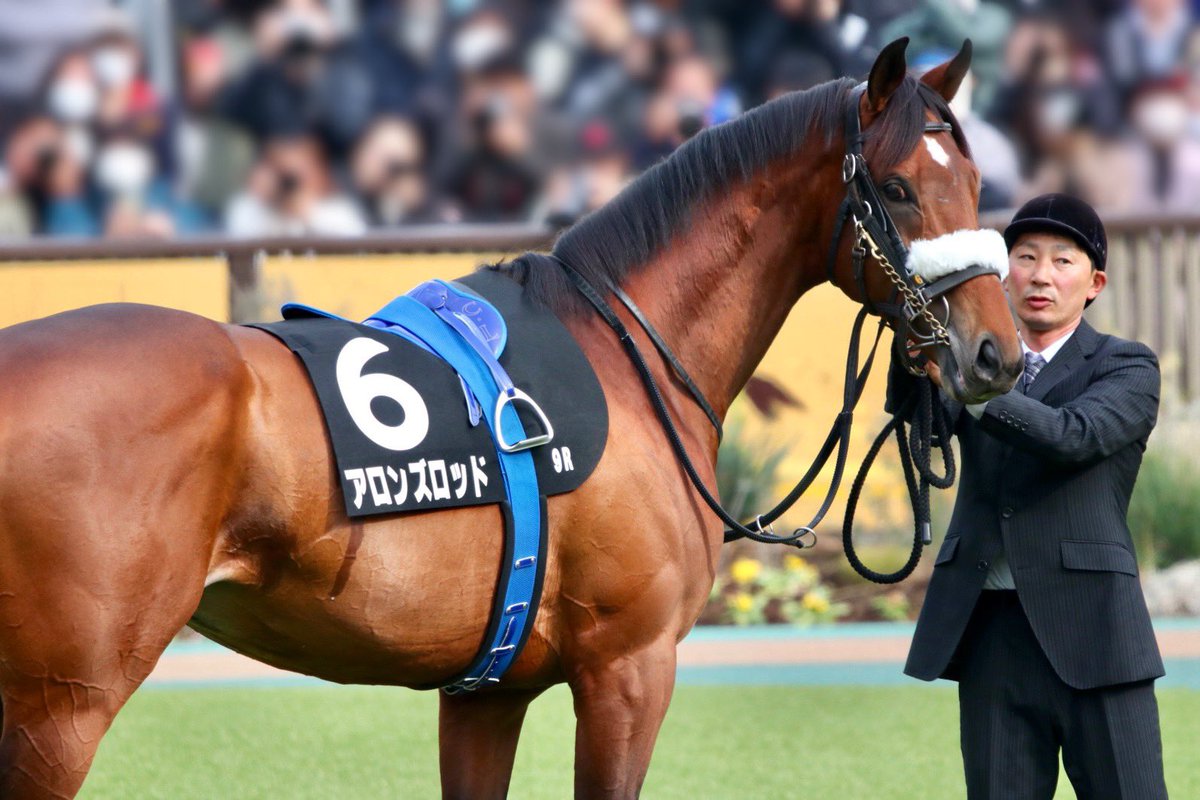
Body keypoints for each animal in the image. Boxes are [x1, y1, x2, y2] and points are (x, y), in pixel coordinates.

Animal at [0, 40, 1022, 798]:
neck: (625, 353)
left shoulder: (485, 693)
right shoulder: (628, 671)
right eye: (896, 188)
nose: (996, 355)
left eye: (974, 185)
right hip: (63, 709)